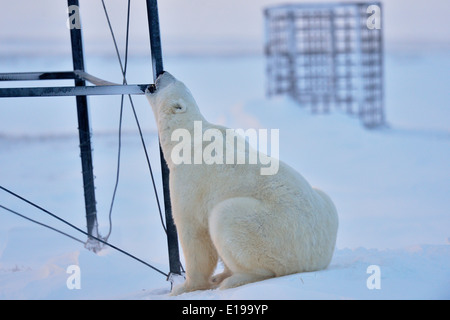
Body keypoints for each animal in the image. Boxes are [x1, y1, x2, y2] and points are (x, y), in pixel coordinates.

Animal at [145, 72, 338, 296]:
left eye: (172, 81)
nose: (162, 73)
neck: (188, 136)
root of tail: (316, 257)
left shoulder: (189, 181)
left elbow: (194, 234)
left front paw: (184, 287)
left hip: (273, 230)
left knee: (226, 218)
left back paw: (232, 279)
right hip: (325, 205)